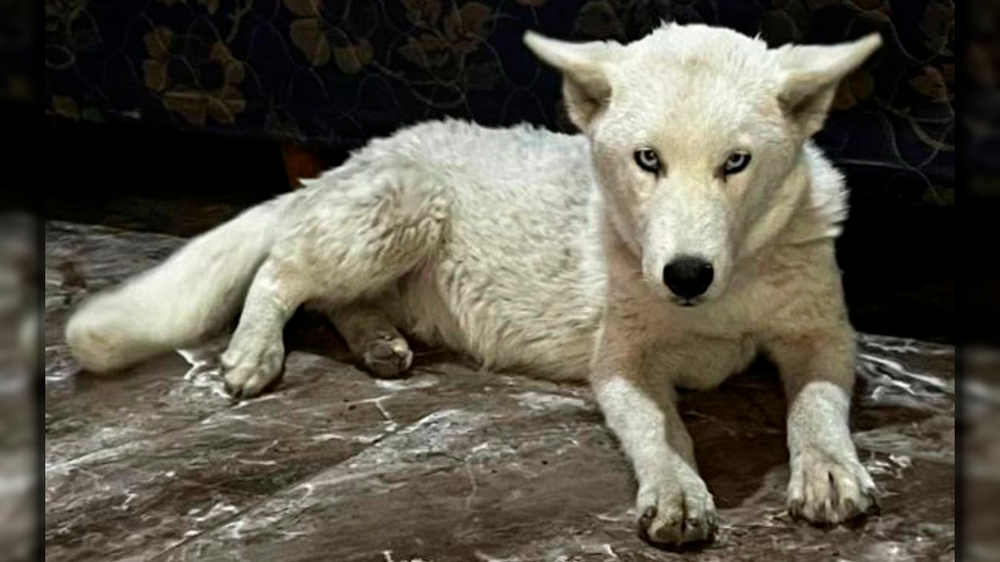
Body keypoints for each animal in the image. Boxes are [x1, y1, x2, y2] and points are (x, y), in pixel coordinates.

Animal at [65, 23, 883, 547]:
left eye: (736, 162)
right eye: (647, 160)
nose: (685, 275)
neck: (732, 283)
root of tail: (357, 154)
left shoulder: (823, 336)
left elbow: (816, 405)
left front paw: (828, 469)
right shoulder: (622, 362)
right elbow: (661, 429)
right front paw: (678, 487)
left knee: (334, 298)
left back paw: (379, 343)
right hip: (401, 208)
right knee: (282, 271)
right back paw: (254, 353)